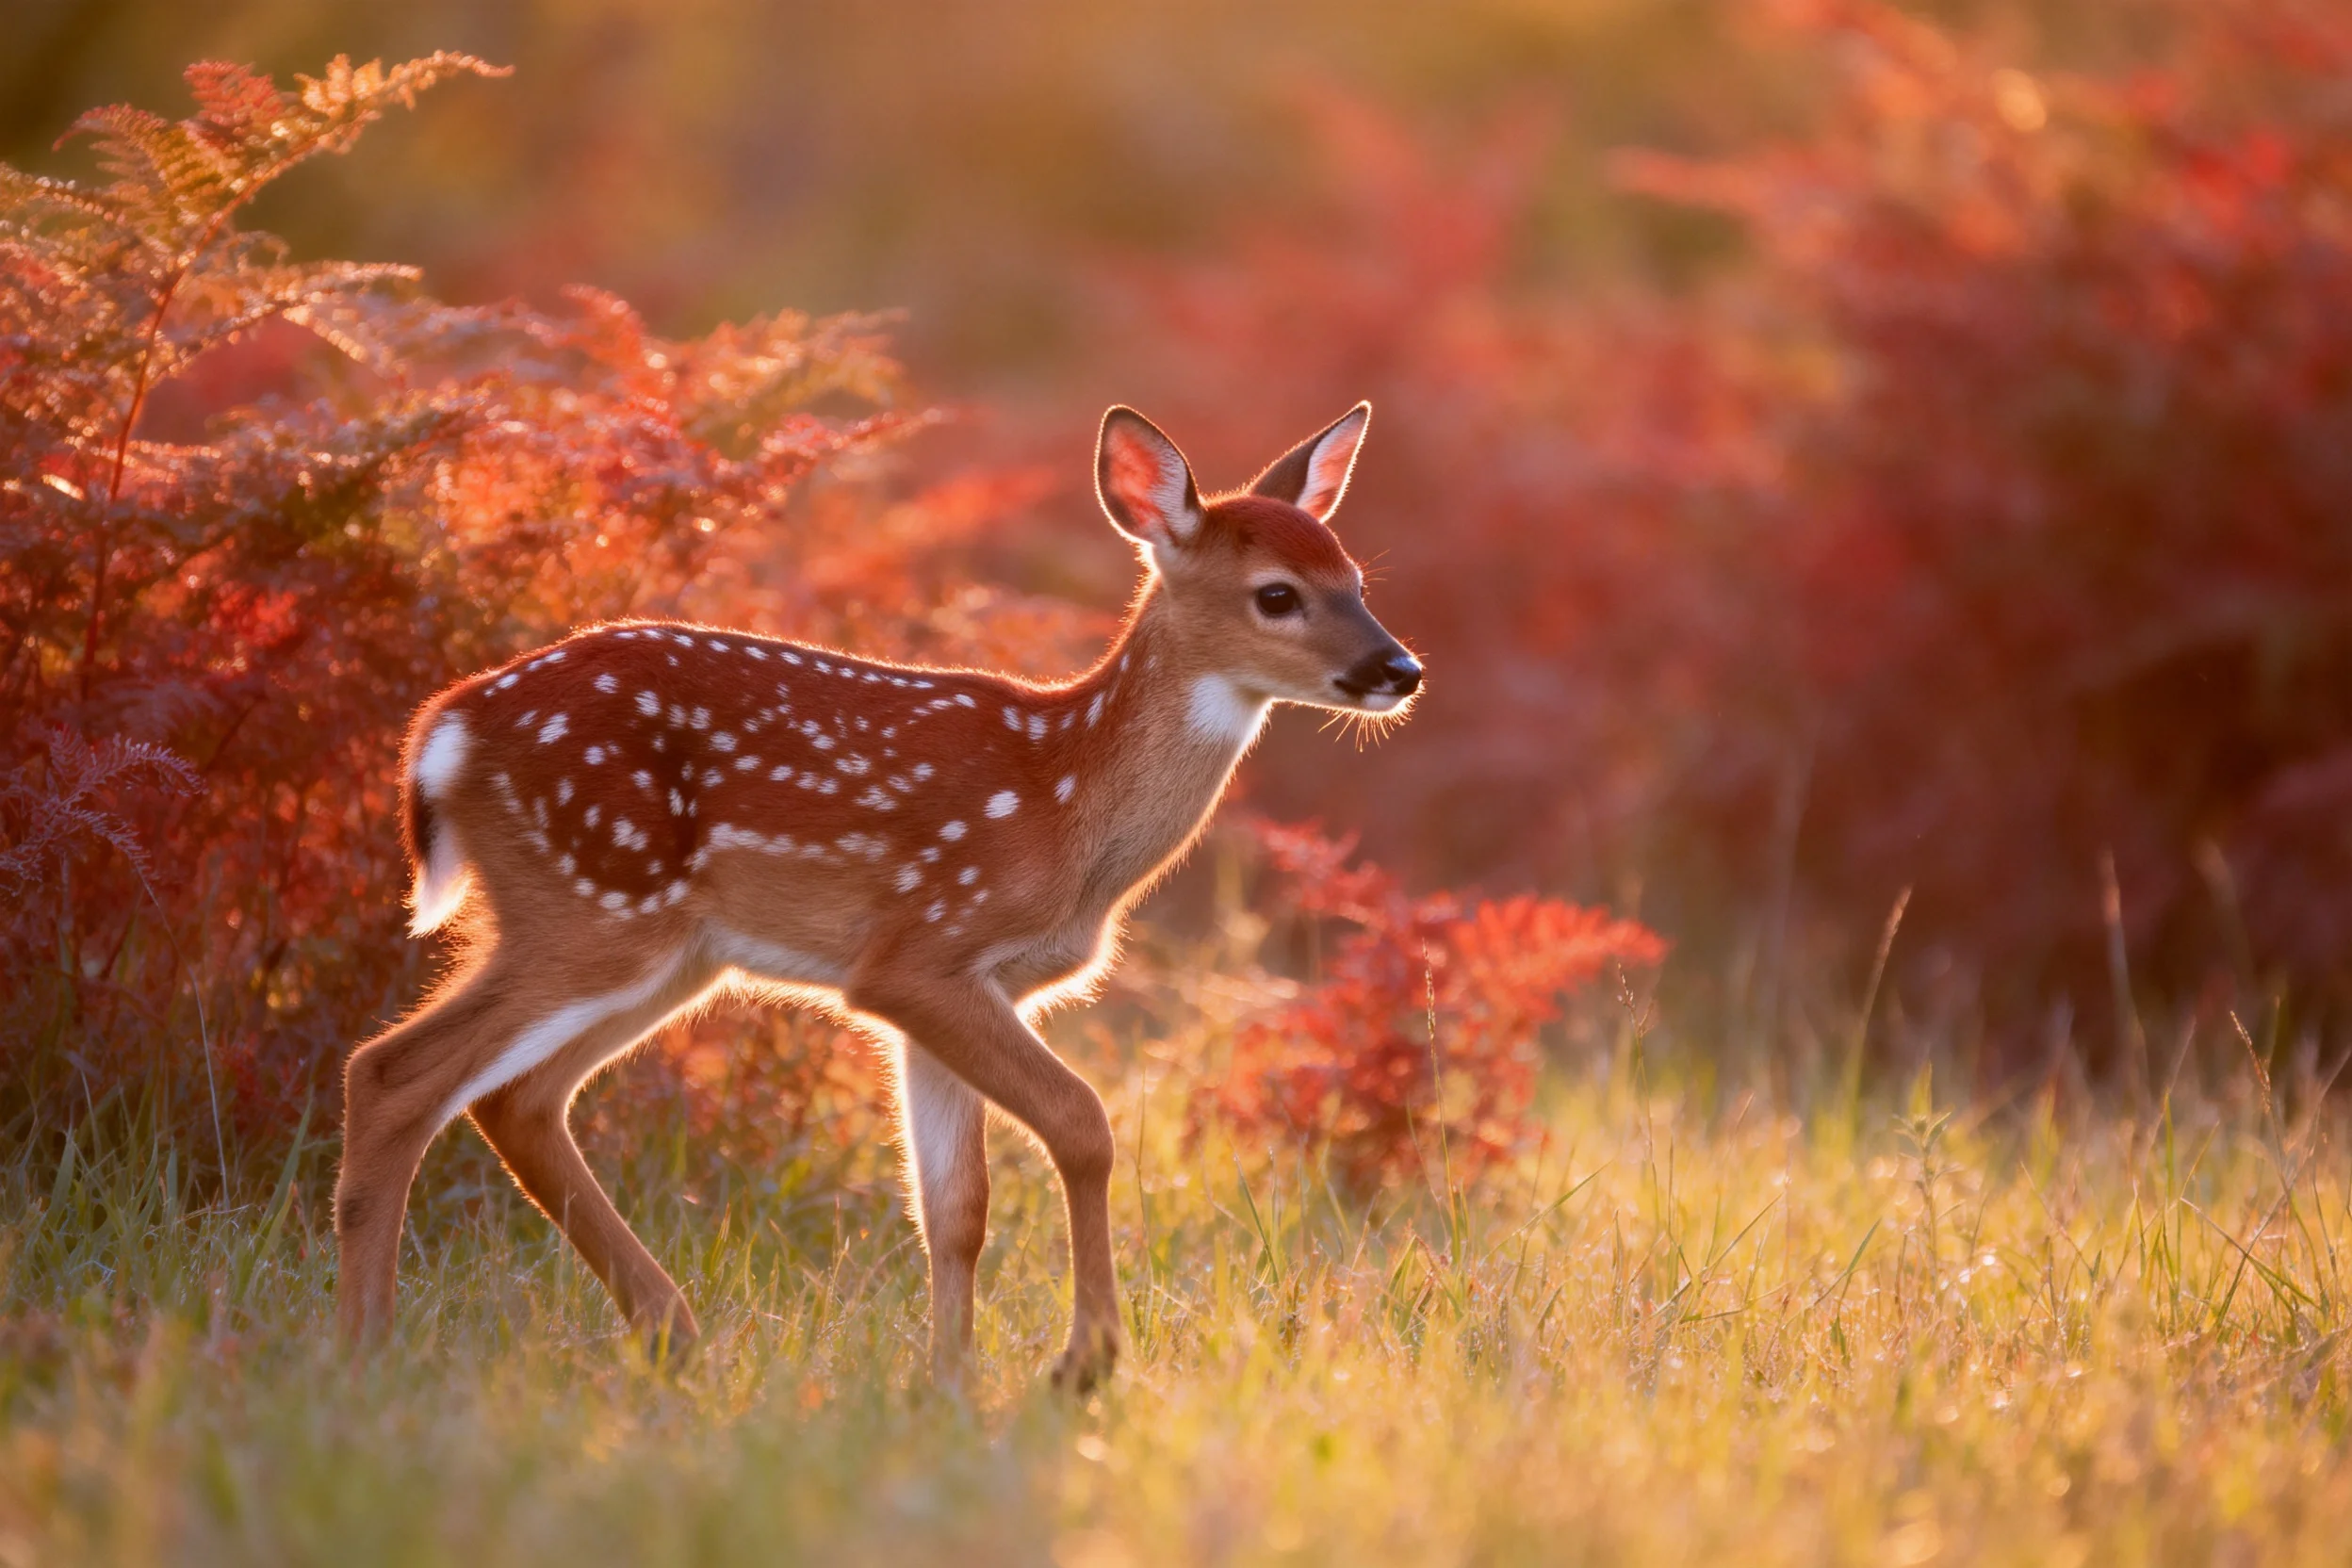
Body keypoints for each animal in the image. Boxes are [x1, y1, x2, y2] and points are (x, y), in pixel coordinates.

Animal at [333, 402, 1422, 1389]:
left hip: (663, 951)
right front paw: (1085, 1360)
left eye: (1358, 582)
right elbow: (1082, 1123)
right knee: (393, 1070)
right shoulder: (919, 951)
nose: (1399, 668)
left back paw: (671, 1335)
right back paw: (369, 1354)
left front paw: (948, 1381)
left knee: (516, 1097)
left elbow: (955, 1207)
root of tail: (443, 733)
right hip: (592, 904)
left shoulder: (958, 990)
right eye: (1276, 594)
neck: (1065, 806)